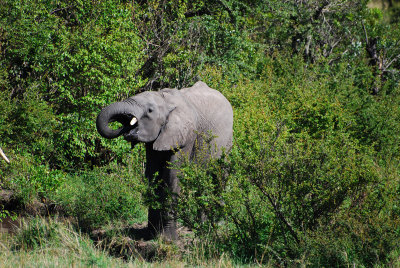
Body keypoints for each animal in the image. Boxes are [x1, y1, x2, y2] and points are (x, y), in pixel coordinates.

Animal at [96, 80, 233, 240]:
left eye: (149, 110)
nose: (126, 126)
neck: (165, 100)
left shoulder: (186, 135)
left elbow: (172, 177)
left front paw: (168, 239)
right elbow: (152, 175)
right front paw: (151, 235)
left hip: (227, 143)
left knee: (219, 175)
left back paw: (213, 226)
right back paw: (201, 227)